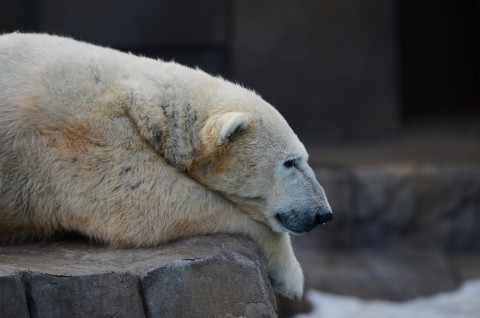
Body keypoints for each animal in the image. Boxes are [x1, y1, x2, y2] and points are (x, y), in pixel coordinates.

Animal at [0, 33, 330, 300]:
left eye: (304, 158)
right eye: (290, 162)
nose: (322, 214)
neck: (134, 94)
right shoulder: (80, 134)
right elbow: (140, 202)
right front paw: (290, 275)